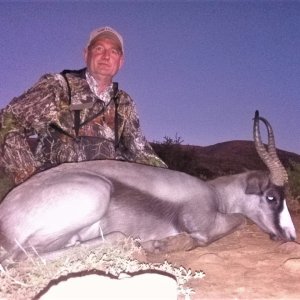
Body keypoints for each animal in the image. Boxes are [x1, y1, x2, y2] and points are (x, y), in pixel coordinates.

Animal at [0, 110, 296, 262]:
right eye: (271, 197)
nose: (291, 237)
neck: (214, 192)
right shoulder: (204, 226)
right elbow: (237, 222)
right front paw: (168, 245)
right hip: (97, 195)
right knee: (18, 259)